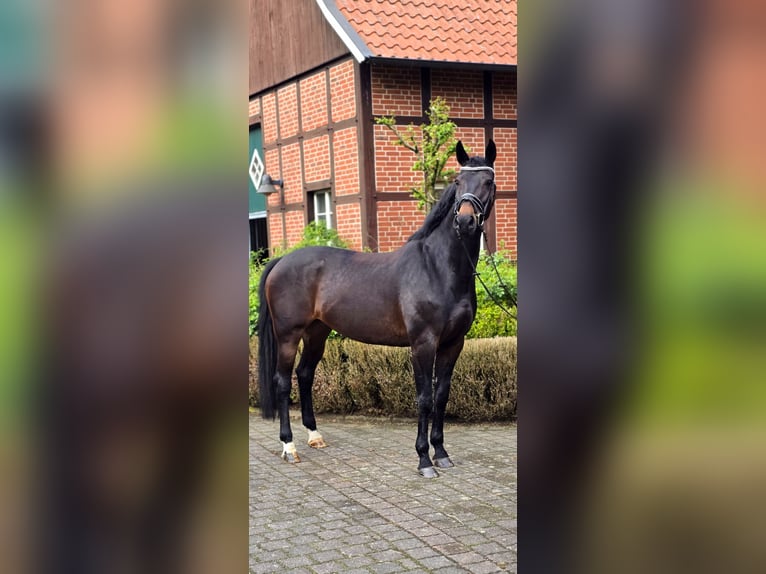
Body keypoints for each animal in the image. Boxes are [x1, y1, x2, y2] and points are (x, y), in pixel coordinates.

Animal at [258, 140, 497, 478]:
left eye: (488, 181)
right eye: (458, 181)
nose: (464, 221)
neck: (438, 268)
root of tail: (281, 260)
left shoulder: (454, 343)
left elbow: (441, 395)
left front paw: (441, 453)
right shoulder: (423, 344)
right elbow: (424, 398)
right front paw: (424, 460)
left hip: (317, 332)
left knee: (305, 375)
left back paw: (314, 436)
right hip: (288, 336)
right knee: (282, 382)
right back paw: (289, 446)